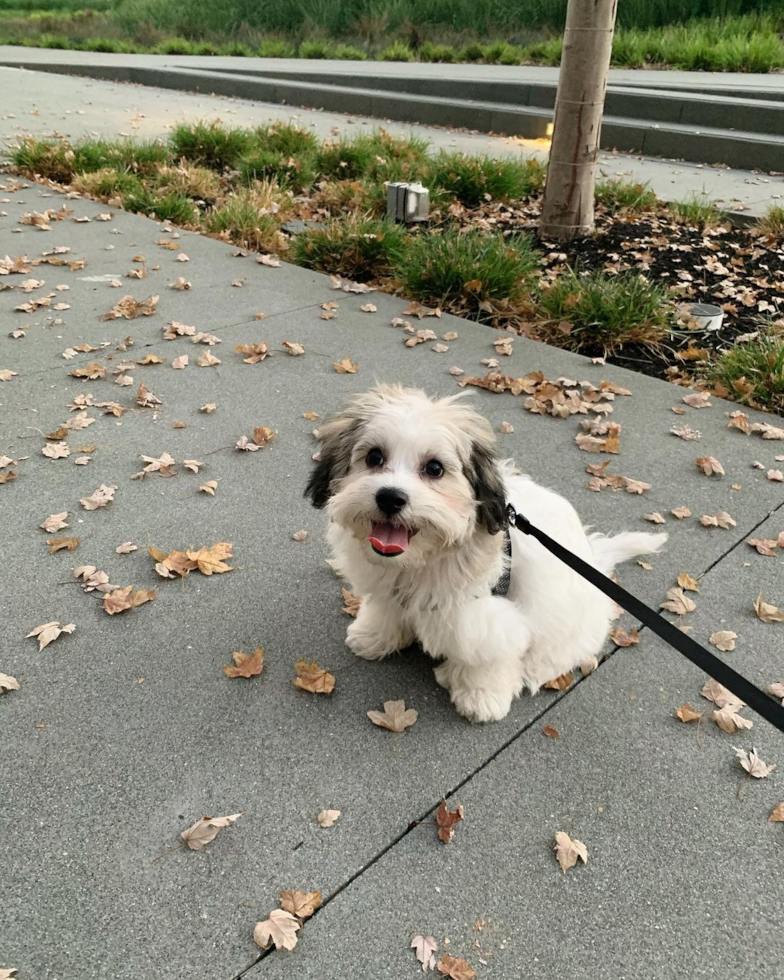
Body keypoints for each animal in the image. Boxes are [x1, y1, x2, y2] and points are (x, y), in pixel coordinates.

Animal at [304, 386, 660, 724]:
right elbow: (386, 609)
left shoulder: (488, 616)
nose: (390, 497)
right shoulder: (390, 587)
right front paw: (373, 637)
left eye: (434, 468)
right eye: (374, 457)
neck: (425, 556)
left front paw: (481, 696)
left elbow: (489, 654)